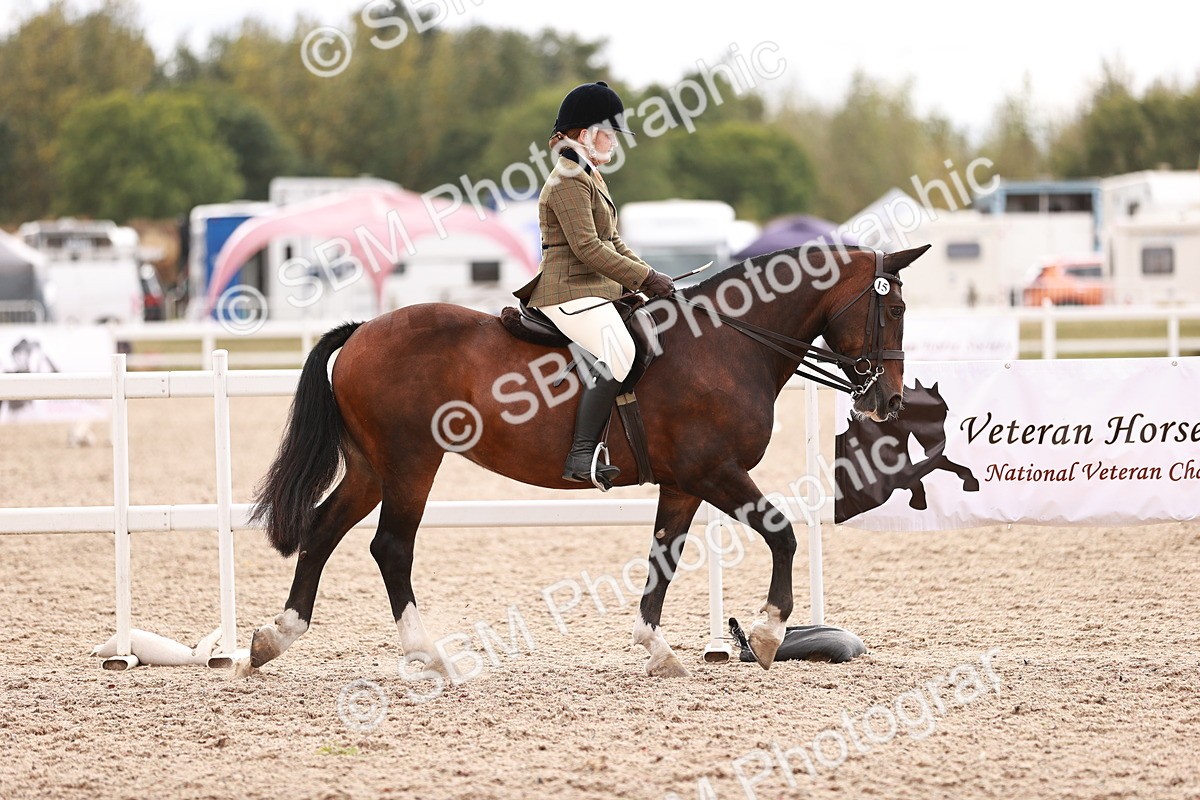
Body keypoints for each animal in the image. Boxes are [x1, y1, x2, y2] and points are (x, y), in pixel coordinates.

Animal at [247, 243, 929, 676]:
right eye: (893, 309)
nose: (890, 401)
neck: (728, 343)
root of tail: (363, 330)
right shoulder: (715, 471)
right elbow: (782, 533)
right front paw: (765, 635)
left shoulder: (685, 482)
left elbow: (664, 557)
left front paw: (656, 649)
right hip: (413, 463)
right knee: (389, 546)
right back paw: (429, 655)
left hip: (372, 467)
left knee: (324, 529)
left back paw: (275, 637)